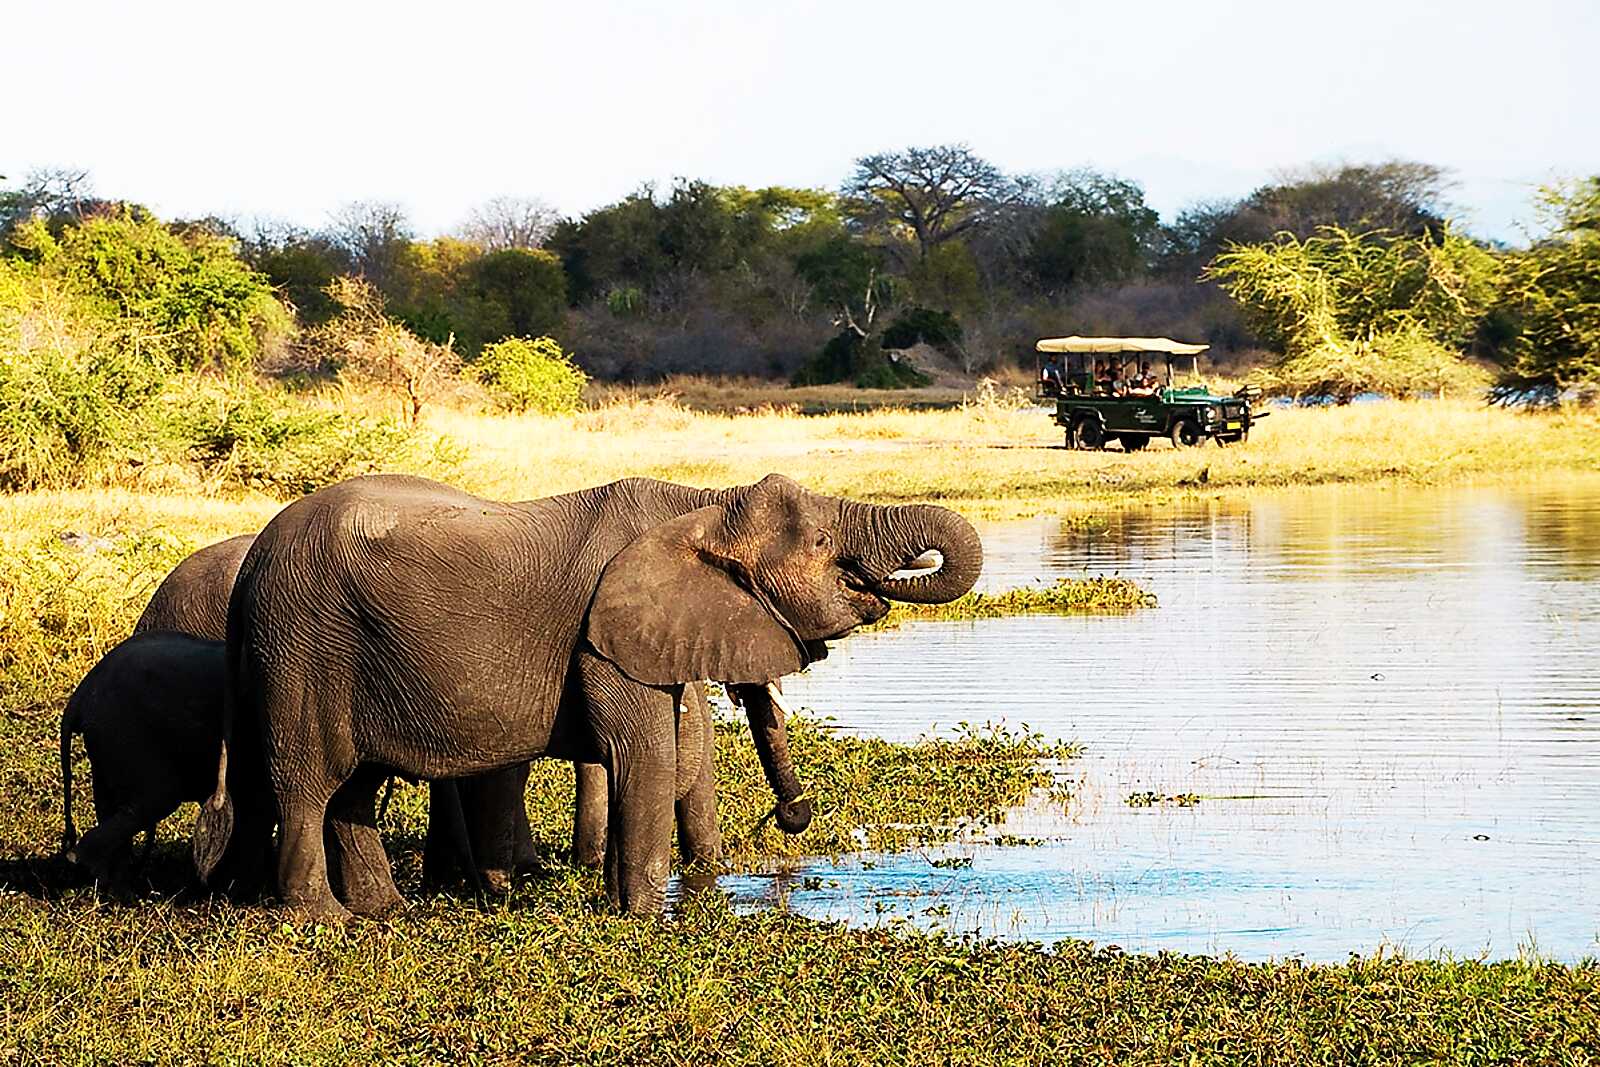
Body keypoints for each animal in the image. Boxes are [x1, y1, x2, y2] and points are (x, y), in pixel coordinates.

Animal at [194, 472, 981, 919]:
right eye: (819, 542)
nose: (794, 816)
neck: (700, 506)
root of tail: (249, 567)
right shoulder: (602, 636)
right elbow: (647, 756)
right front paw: (644, 923)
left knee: (352, 789)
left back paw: (385, 912)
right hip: (301, 646)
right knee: (309, 783)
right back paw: (321, 922)